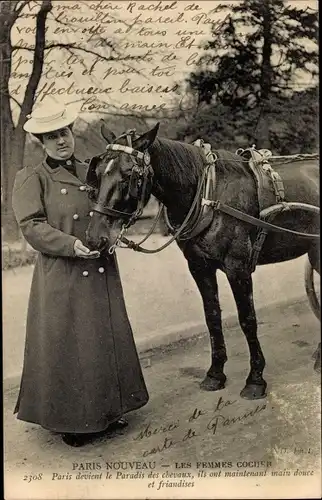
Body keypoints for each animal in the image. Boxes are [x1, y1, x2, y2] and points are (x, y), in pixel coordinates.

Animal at [84, 121, 320, 398]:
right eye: (98, 172)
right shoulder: (199, 267)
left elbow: (247, 320)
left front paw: (255, 379)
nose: (95, 238)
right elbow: (212, 317)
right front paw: (215, 374)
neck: (209, 193)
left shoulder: (238, 268)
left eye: (129, 175)